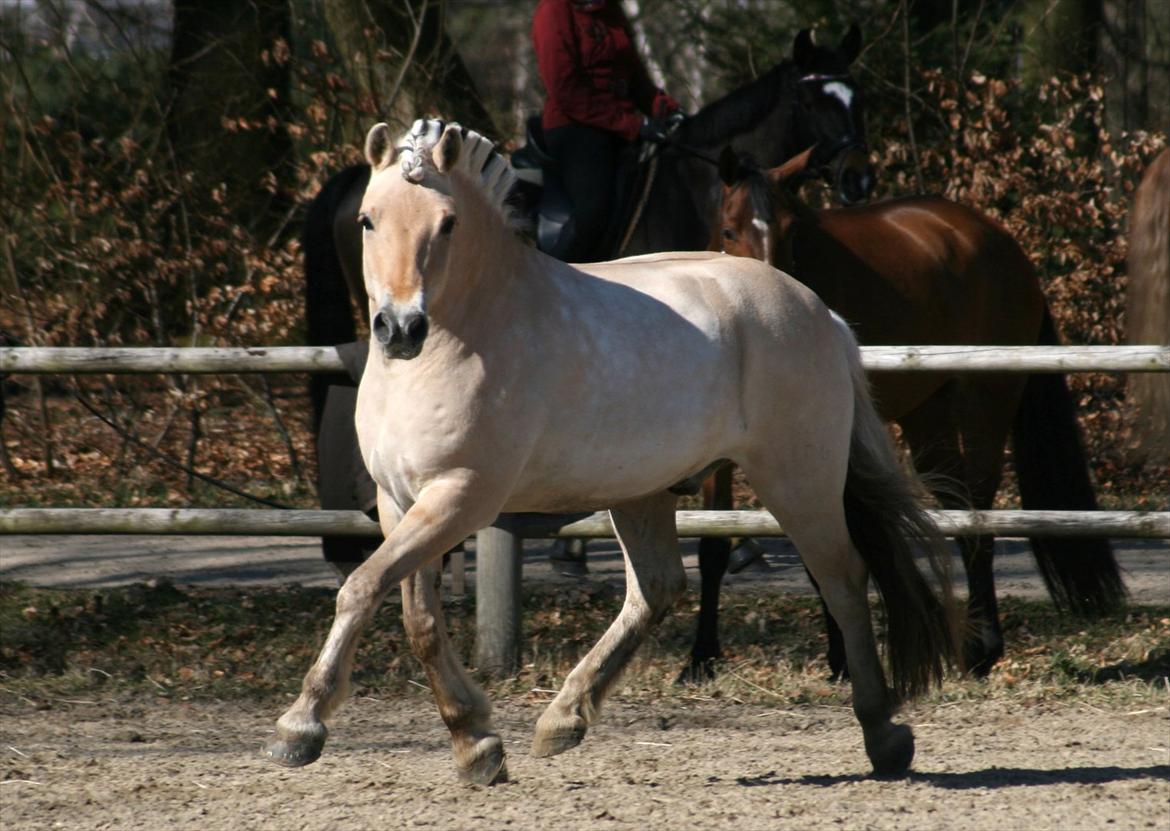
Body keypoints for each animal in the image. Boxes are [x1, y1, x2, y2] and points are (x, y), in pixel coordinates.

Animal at [702, 146, 1123, 678]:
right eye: (729, 230)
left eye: (794, 232)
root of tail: (999, 242)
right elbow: (714, 544)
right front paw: (700, 658)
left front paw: (843, 656)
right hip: (929, 414)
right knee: (955, 497)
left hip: (987, 400)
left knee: (977, 509)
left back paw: (983, 645)